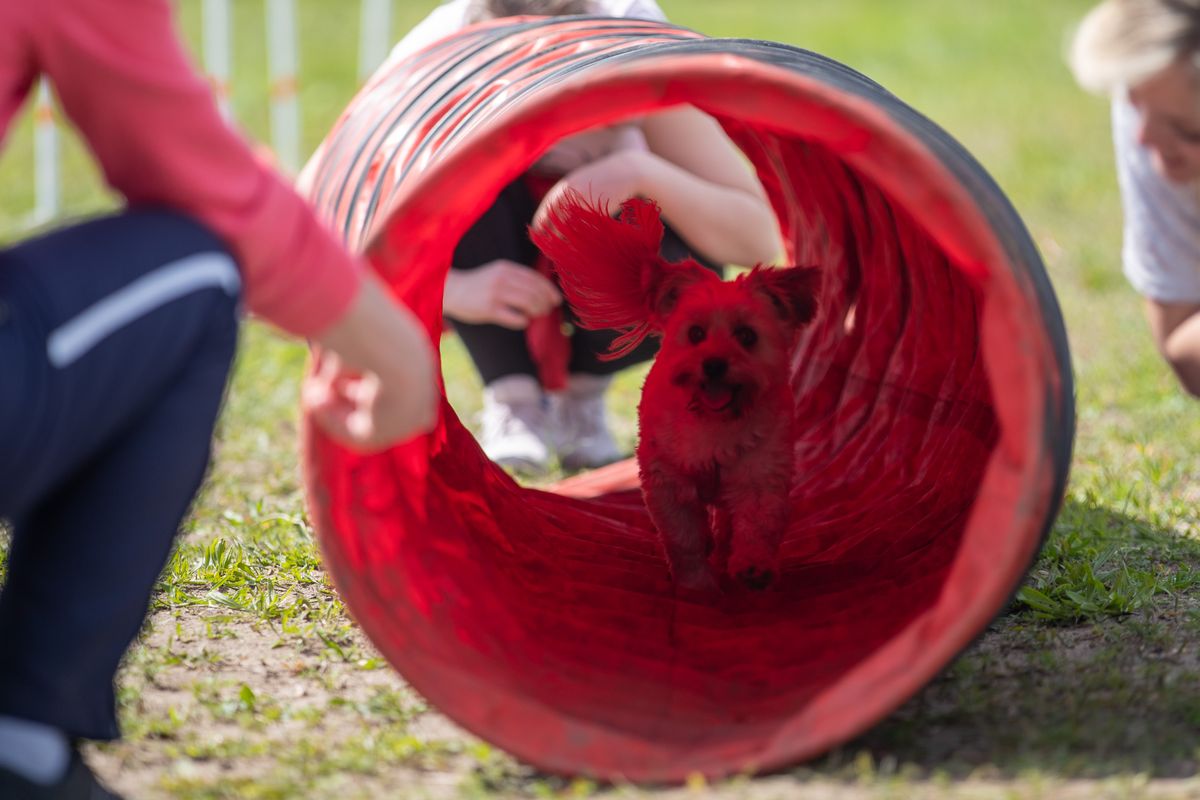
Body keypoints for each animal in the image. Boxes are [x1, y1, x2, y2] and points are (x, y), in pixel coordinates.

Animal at [537, 190, 825, 597]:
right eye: (696, 334)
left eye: (747, 336)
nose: (714, 364)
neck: (715, 422)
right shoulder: (668, 483)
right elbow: (684, 538)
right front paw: (696, 584)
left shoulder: (761, 474)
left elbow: (756, 525)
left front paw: (752, 567)